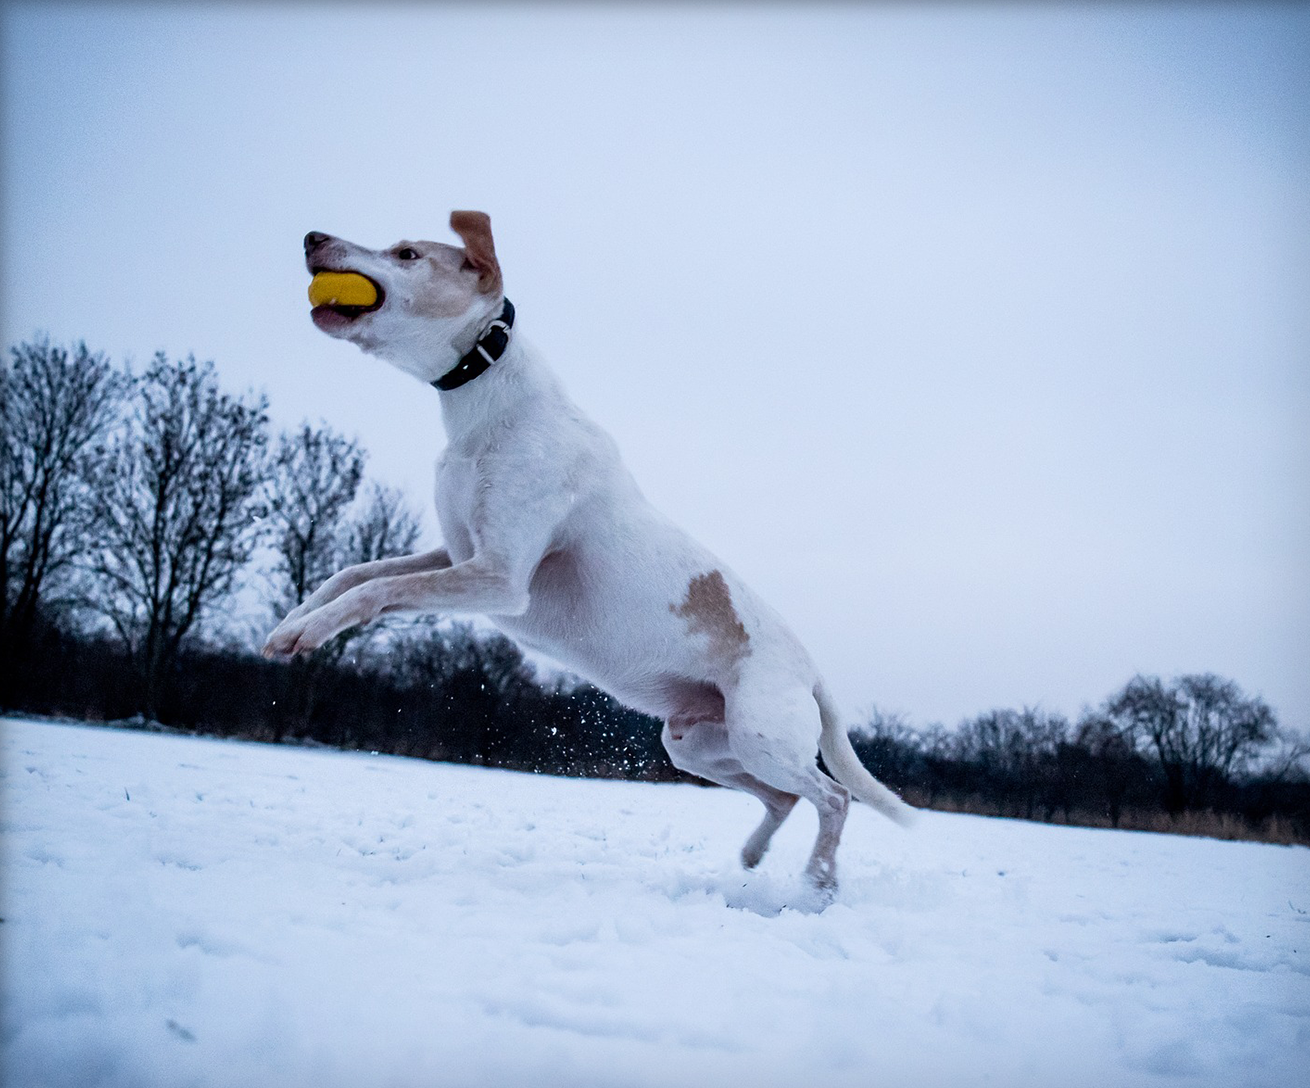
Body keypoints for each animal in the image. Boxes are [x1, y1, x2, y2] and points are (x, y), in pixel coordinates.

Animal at [264, 208, 911, 895]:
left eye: (407, 253)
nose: (311, 238)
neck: (488, 410)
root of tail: (813, 672)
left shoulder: (499, 577)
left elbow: (380, 589)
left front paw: (309, 632)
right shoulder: (457, 552)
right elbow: (357, 573)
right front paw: (289, 626)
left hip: (762, 735)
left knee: (834, 798)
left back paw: (818, 883)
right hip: (697, 741)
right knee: (786, 799)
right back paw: (754, 856)